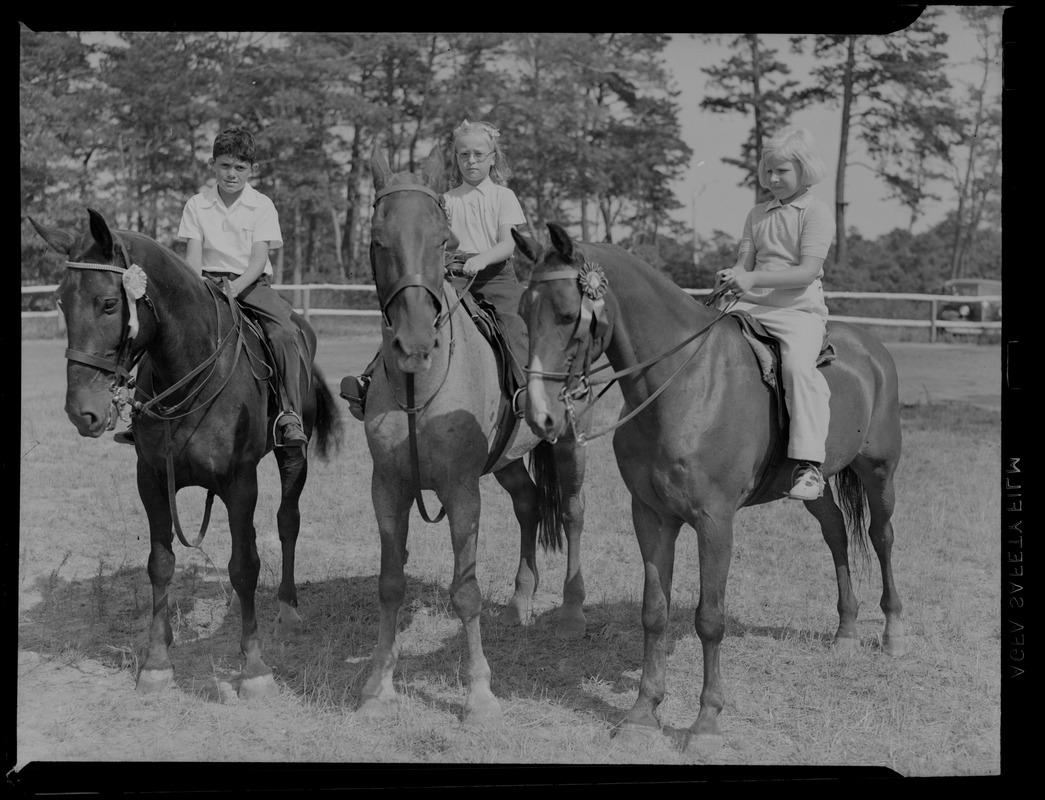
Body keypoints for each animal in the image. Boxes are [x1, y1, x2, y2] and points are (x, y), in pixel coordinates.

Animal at [30, 210, 340, 701]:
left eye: (109, 304)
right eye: (60, 302)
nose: (82, 412)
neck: (193, 371)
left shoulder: (240, 481)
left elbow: (244, 566)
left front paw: (254, 669)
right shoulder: (152, 478)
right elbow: (161, 564)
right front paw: (157, 662)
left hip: (293, 456)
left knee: (286, 522)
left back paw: (288, 607)